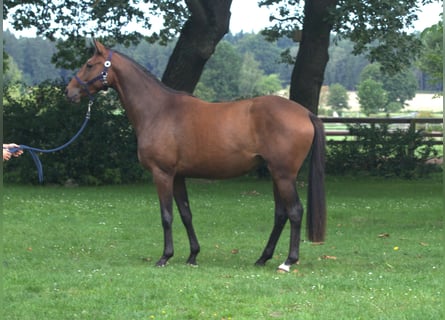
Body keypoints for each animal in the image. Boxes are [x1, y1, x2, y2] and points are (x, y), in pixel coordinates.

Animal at [64, 38, 324, 272]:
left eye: (89, 64)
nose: (69, 92)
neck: (159, 111)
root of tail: (305, 113)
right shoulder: (178, 176)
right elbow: (186, 214)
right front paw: (192, 256)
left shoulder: (162, 174)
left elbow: (166, 215)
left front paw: (165, 257)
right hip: (275, 174)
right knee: (281, 214)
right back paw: (263, 258)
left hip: (284, 175)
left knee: (295, 212)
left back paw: (288, 262)